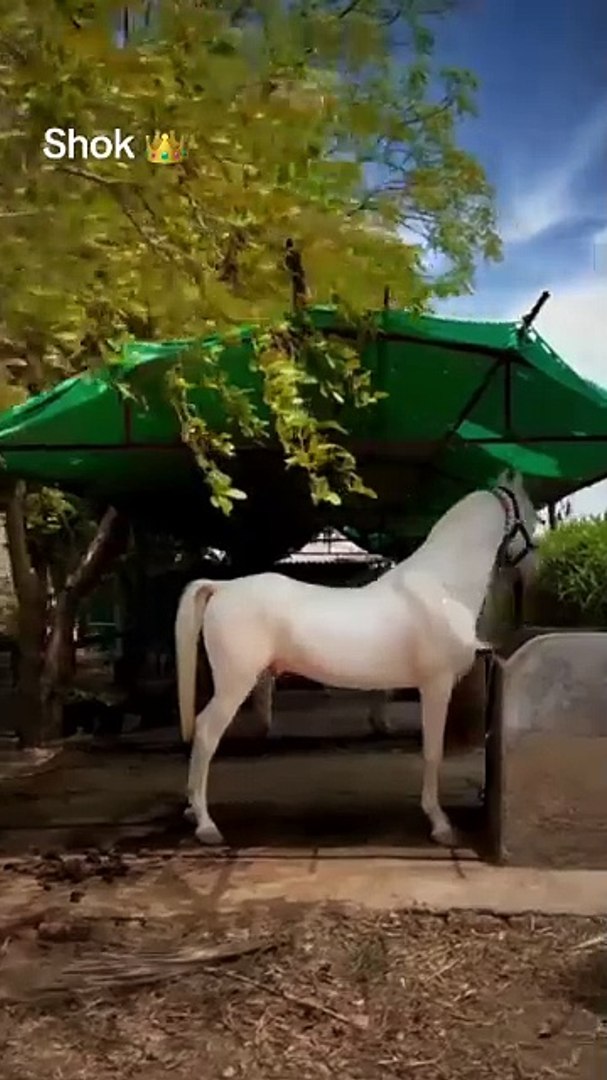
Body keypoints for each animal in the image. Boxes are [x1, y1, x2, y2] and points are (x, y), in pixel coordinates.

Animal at [175, 470, 538, 847]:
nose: (533, 570)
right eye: (533, 515)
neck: (442, 587)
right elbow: (432, 752)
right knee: (205, 734)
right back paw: (205, 825)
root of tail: (222, 587)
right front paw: (440, 824)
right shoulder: (435, 685)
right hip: (234, 684)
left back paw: (191, 811)